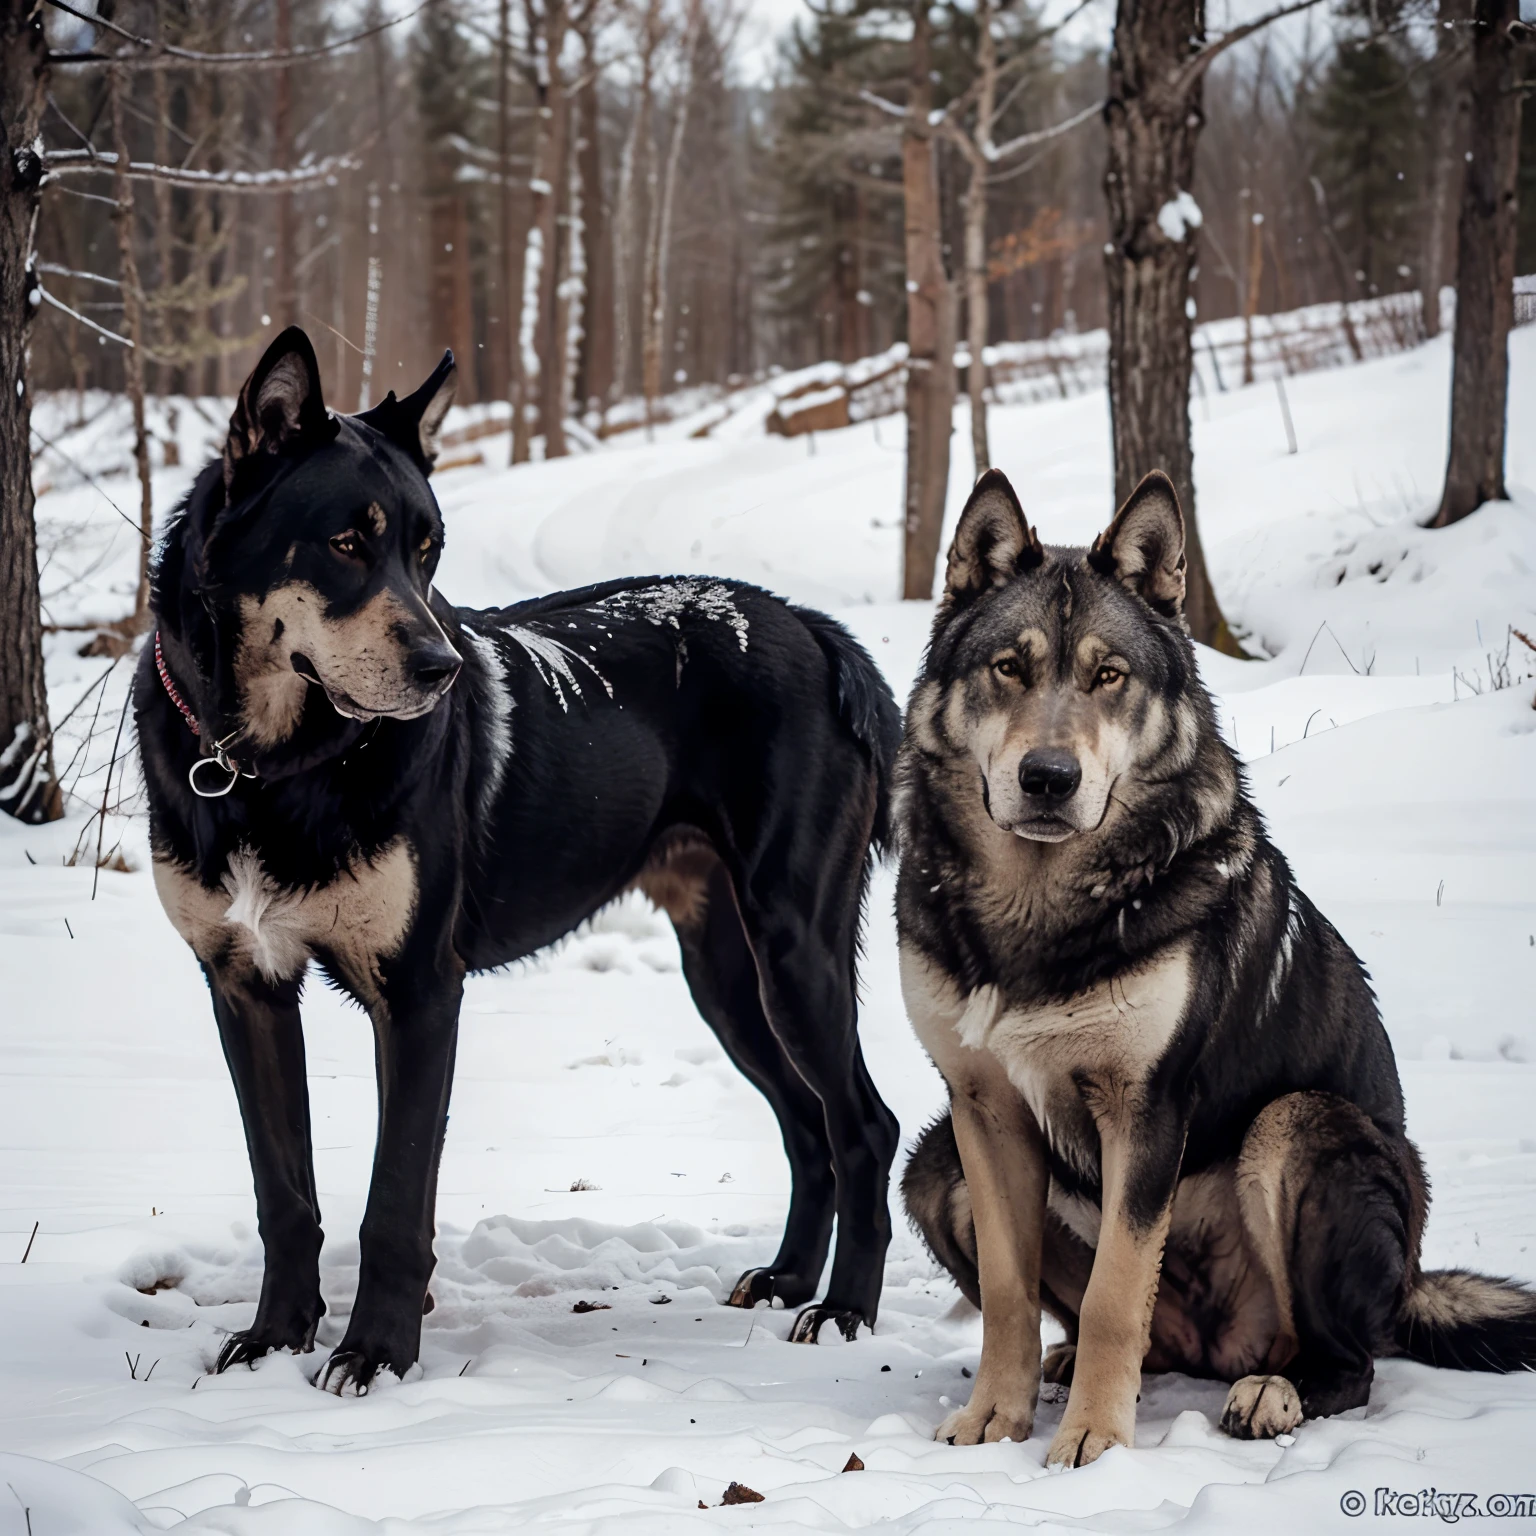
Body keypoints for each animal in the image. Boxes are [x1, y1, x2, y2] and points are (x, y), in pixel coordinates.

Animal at [135, 327, 897, 1394]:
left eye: (427, 551)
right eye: (345, 543)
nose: (443, 669)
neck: (269, 767)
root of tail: (815, 630)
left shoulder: (419, 991)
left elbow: (393, 1203)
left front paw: (374, 1356)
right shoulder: (245, 986)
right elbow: (284, 1195)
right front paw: (276, 1339)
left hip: (795, 951)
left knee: (863, 1126)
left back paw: (845, 1311)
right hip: (728, 976)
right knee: (808, 1125)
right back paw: (788, 1279)